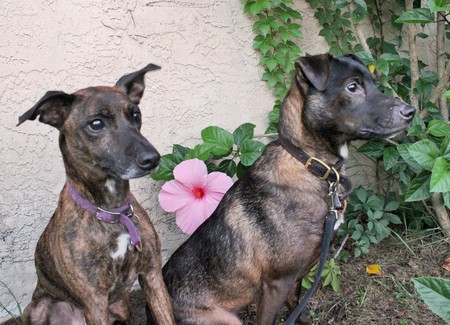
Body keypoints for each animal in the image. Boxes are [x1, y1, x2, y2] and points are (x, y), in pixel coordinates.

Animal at [17, 64, 173, 322]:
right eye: (96, 124)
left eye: (135, 115)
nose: (153, 159)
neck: (111, 210)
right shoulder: (95, 300)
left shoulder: (152, 275)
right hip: (36, 309)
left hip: (122, 305)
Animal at [159, 53, 414, 324]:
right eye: (352, 86)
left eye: (375, 84)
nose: (411, 111)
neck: (311, 164)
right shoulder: (276, 282)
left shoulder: (298, 276)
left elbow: (295, 307)